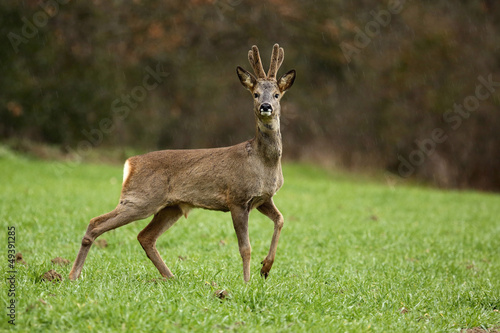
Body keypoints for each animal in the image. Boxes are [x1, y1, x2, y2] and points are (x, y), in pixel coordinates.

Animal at [68, 44, 294, 282]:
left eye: (277, 94)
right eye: (255, 94)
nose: (266, 106)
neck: (263, 162)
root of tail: (130, 163)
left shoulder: (264, 198)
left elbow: (280, 220)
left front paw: (266, 268)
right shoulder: (237, 198)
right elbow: (245, 247)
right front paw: (247, 281)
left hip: (171, 207)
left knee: (145, 236)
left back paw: (169, 276)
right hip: (140, 199)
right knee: (96, 223)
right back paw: (73, 275)